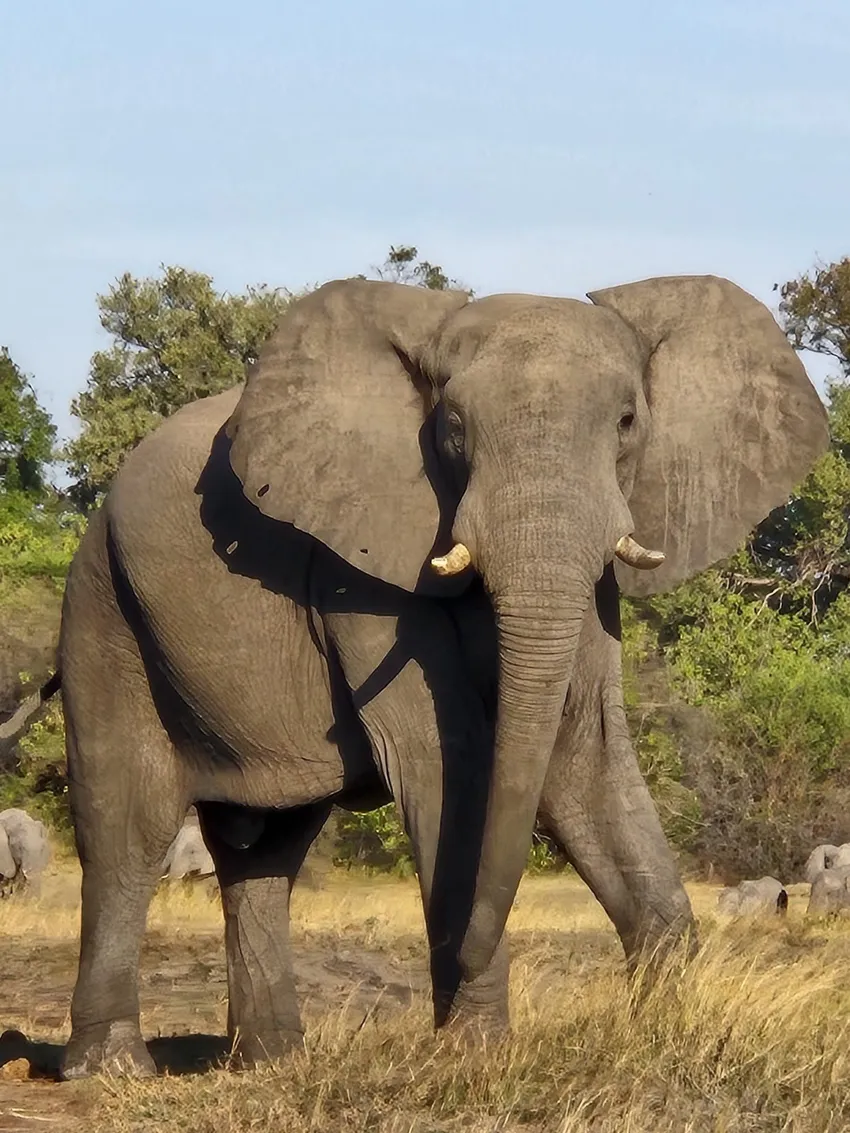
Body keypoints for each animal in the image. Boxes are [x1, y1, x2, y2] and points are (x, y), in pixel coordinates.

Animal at [0, 275, 827, 1080]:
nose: (466, 960)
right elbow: (445, 759)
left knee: (263, 851)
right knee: (127, 825)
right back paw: (112, 1070)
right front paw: (478, 1052)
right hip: (105, 608)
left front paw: (669, 1029)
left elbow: (581, 753)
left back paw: (272, 1062)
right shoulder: (360, 571)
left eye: (627, 421)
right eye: (452, 426)